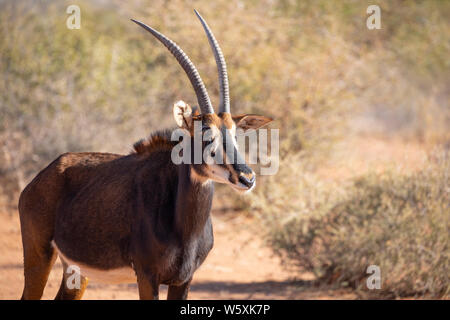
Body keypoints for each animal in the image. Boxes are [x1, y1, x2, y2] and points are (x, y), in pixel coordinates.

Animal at [18, 10, 270, 300]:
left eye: (235, 134)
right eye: (205, 135)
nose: (247, 178)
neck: (184, 227)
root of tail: (44, 174)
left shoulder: (184, 279)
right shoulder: (147, 276)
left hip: (76, 270)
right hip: (39, 254)